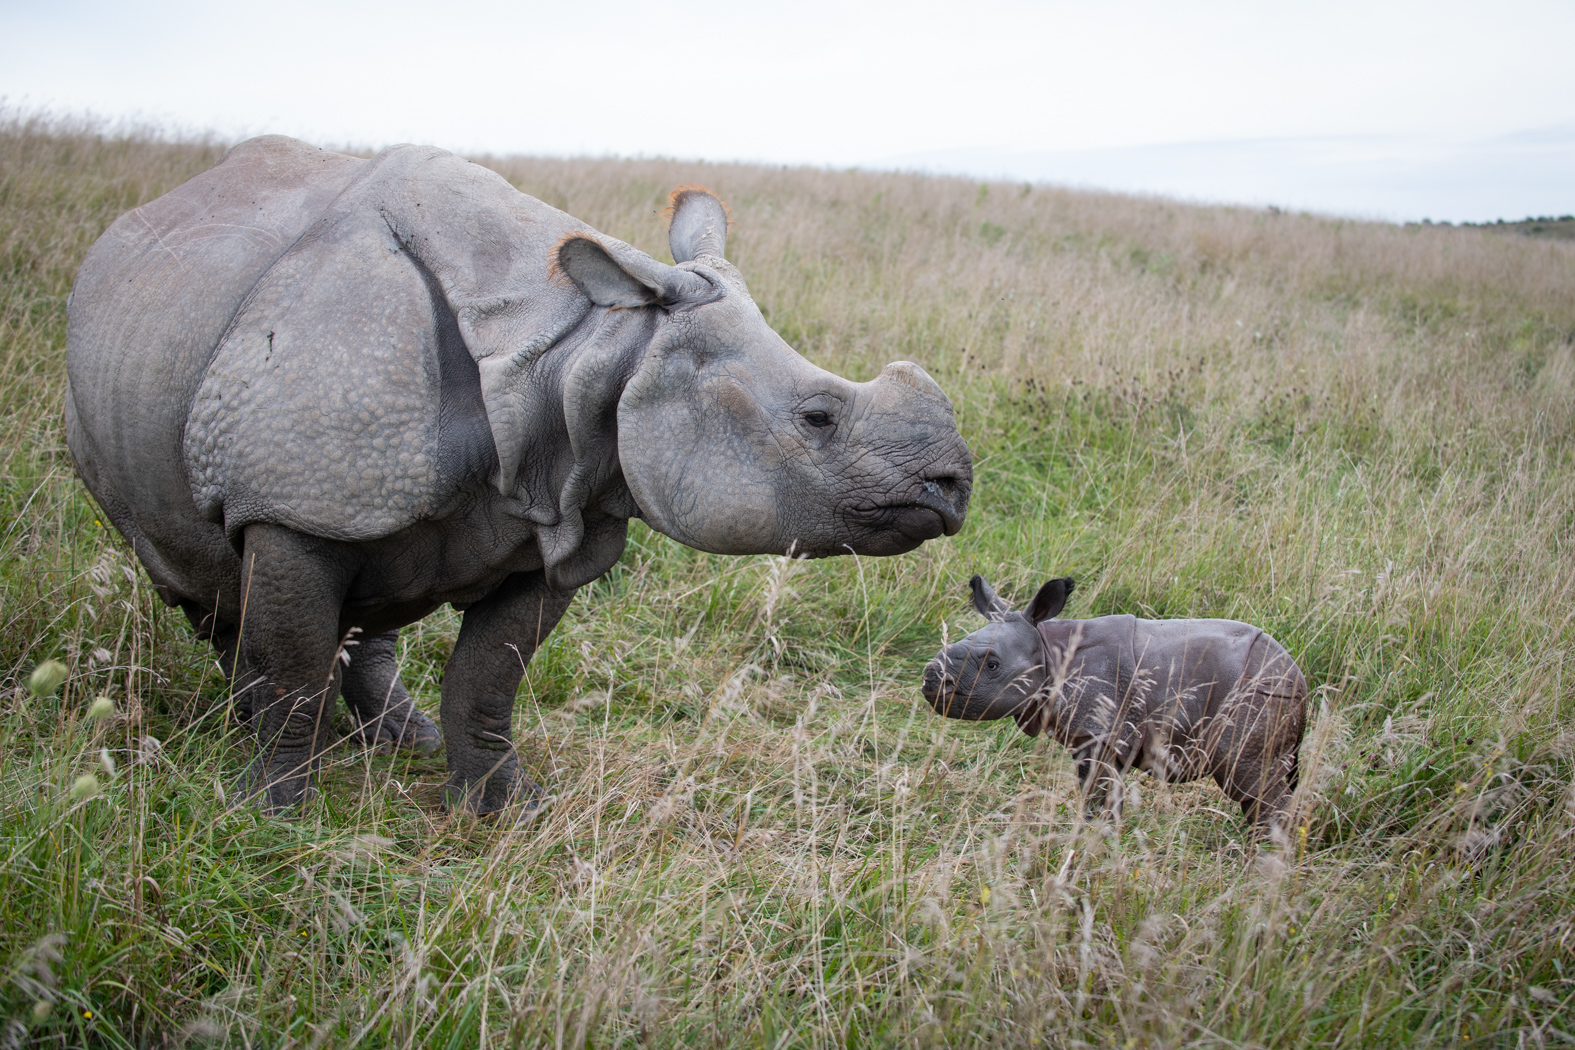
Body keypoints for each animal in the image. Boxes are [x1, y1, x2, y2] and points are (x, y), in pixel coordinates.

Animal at [919, 579, 1304, 831]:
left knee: (1248, 778)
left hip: (1259, 693)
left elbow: (1098, 794)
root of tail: (1298, 678)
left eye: (992, 665)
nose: (932, 679)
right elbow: (1099, 793)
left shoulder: (1101, 732)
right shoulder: (1092, 737)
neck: (1048, 648)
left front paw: (1095, 837)